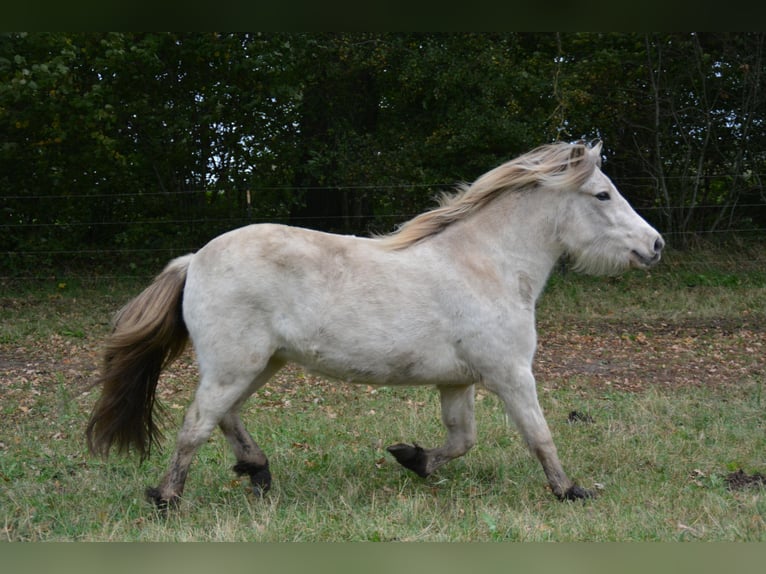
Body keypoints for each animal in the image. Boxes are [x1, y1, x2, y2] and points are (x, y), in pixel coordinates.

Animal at [85, 141, 664, 509]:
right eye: (602, 194)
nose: (655, 245)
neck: (487, 264)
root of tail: (195, 259)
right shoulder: (512, 375)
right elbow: (539, 435)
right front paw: (570, 492)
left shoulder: (458, 382)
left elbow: (461, 440)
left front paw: (414, 459)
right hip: (236, 364)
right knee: (197, 424)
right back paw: (166, 498)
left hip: (259, 364)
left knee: (225, 416)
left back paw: (257, 471)